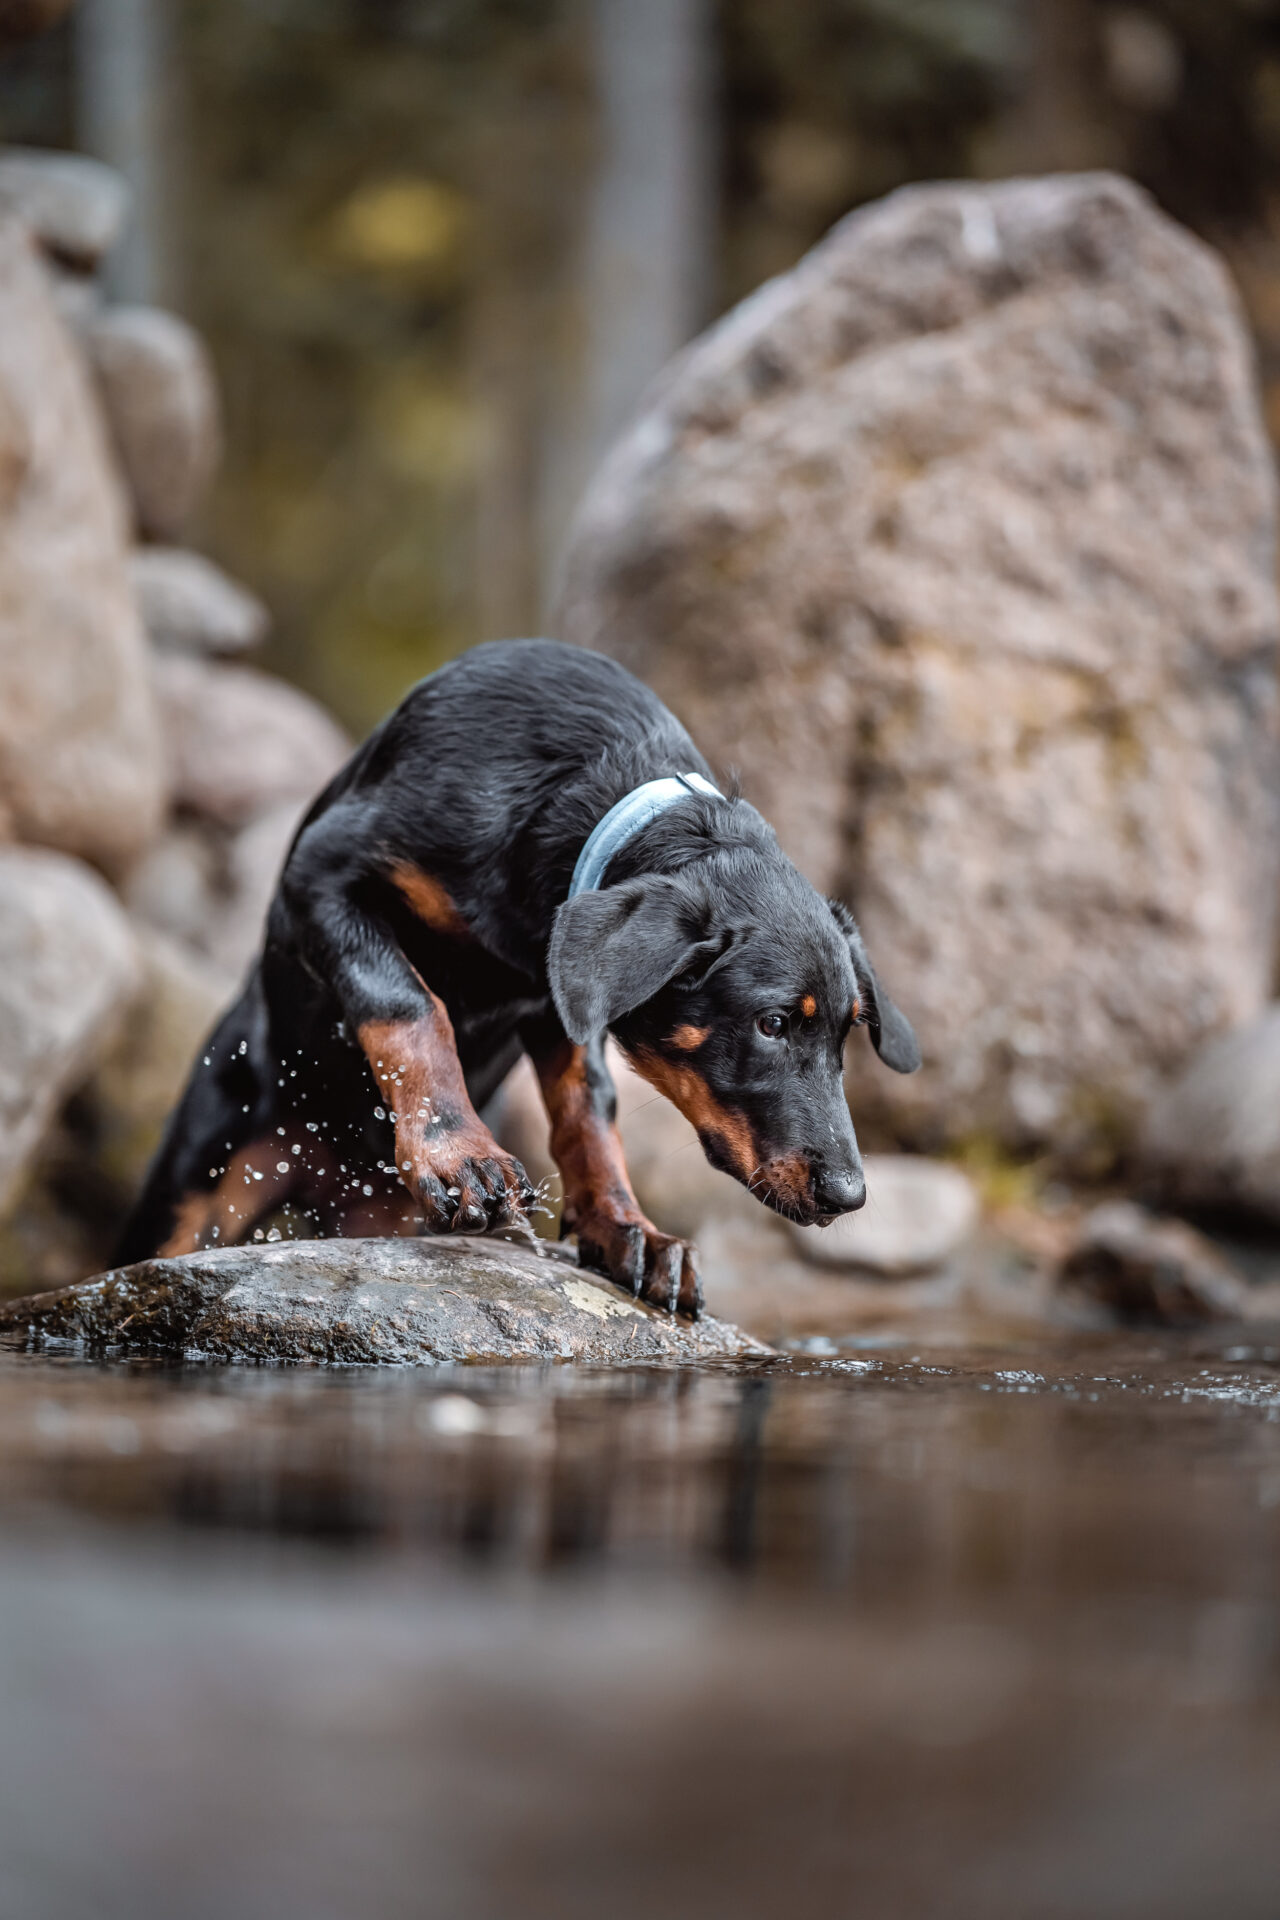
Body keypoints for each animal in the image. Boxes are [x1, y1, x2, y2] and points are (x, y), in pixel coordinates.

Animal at [117, 637, 921, 1313]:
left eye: (848, 1034)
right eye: (773, 1023)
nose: (850, 1196)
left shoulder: (559, 999)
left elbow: (587, 1107)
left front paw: (627, 1228)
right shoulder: (319, 876)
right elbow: (410, 1003)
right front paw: (458, 1153)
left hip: (376, 1214)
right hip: (202, 1177)